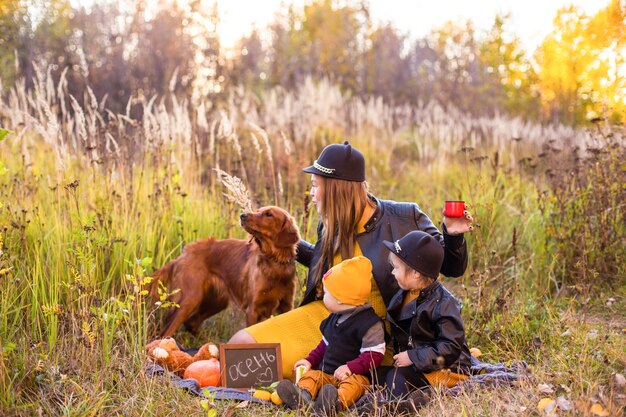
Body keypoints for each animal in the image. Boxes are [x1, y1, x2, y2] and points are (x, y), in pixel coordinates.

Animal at [149, 206, 300, 338]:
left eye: (269, 214)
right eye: (257, 210)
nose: (242, 215)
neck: (274, 262)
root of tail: (182, 255)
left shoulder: (286, 306)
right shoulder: (253, 309)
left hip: (217, 301)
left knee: (191, 323)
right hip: (189, 299)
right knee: (165, 334)